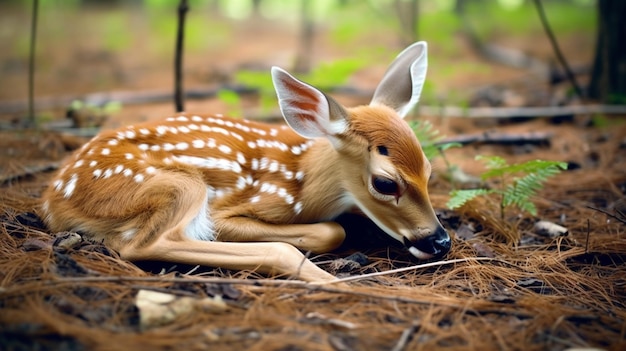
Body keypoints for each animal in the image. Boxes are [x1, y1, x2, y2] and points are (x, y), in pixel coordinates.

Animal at [40, 42, 448, 284]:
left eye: (429, 171)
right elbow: (332, 231)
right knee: (143, 244)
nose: (440, 241)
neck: (303, 181)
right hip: (178, 183)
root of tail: (53, 199)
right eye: (385, 183)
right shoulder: (233, 209)